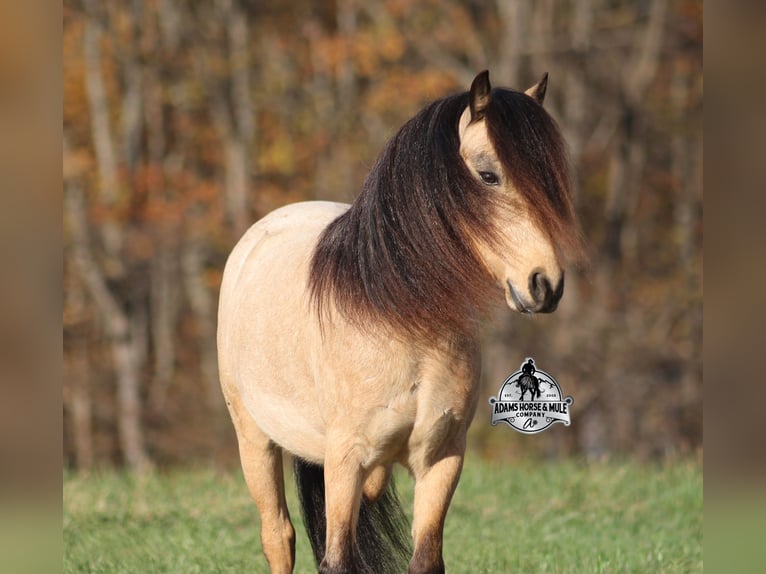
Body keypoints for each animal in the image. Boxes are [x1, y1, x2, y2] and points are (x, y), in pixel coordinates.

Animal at [217, 70, 584, 574]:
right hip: (254, 440)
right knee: (278, 535)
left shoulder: (441, 459)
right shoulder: (345, 460)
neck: (402, 322)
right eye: (488, 175)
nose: (545, 284)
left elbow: (425, 557)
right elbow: (335, 558)